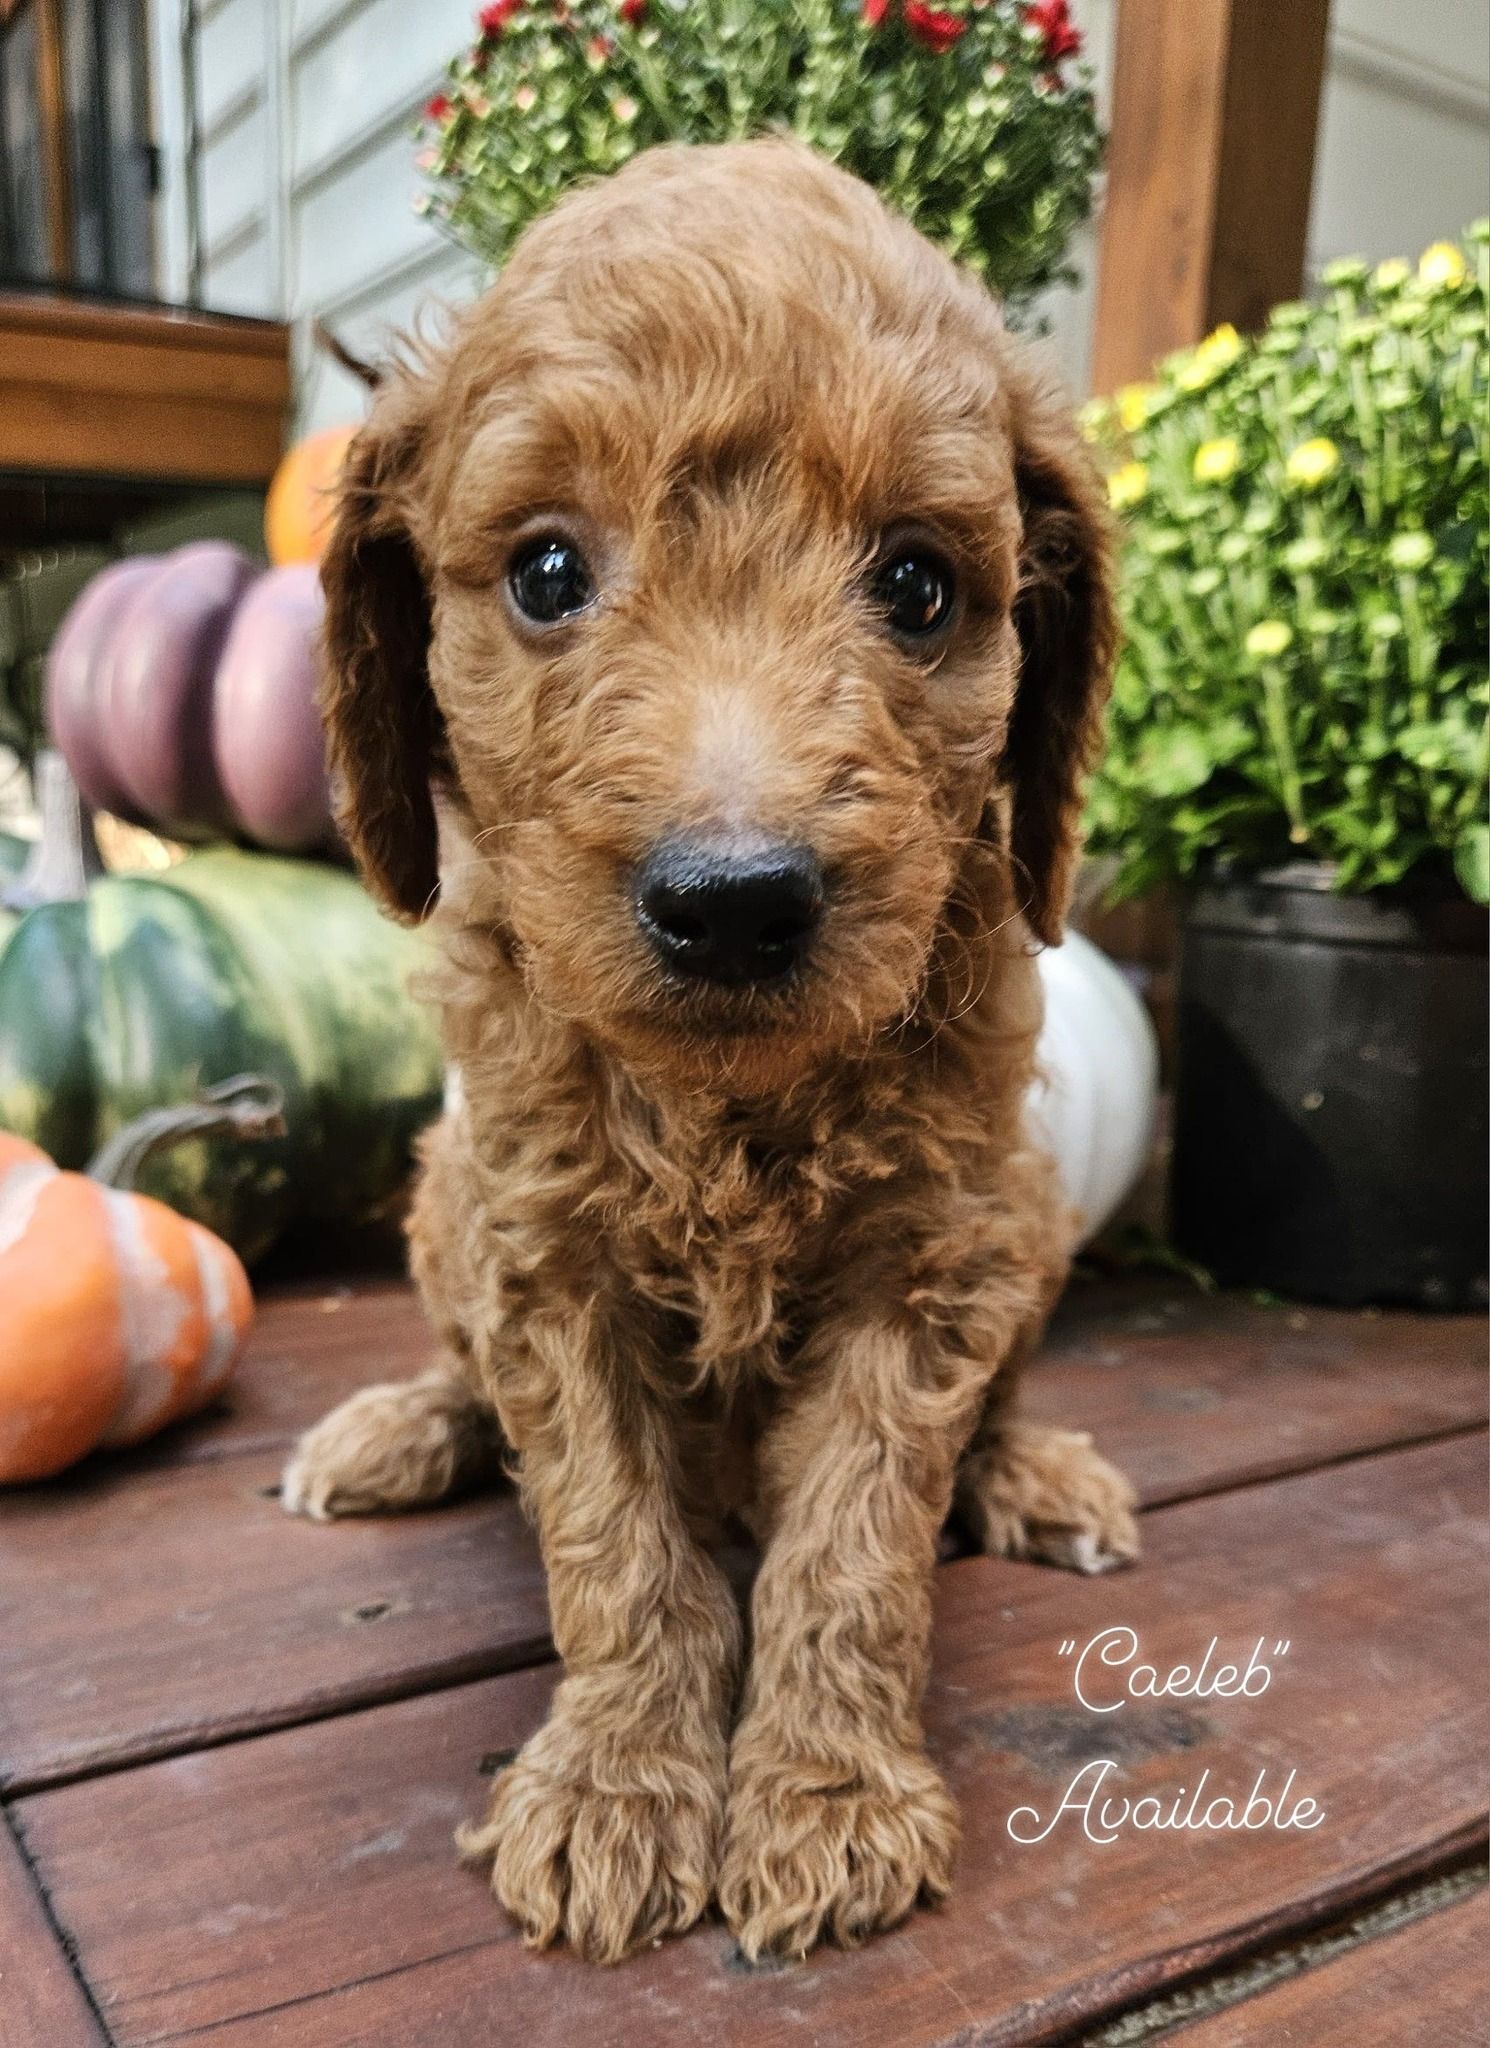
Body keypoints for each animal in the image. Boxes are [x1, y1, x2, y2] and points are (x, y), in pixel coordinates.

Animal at [282, 137, 1137, 1965]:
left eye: (917, 584)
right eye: (545, 572)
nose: (734, 904)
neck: (730, 1110)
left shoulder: (927, 1257)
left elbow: (857, 1542)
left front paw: (822, 1795)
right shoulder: (546, 1253)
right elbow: (617, 1541)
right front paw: (617, 1786)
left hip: (1025, 1215)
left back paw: (1035, 1471)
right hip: (444, 1196)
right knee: (460, 1367)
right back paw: (397, 1430)